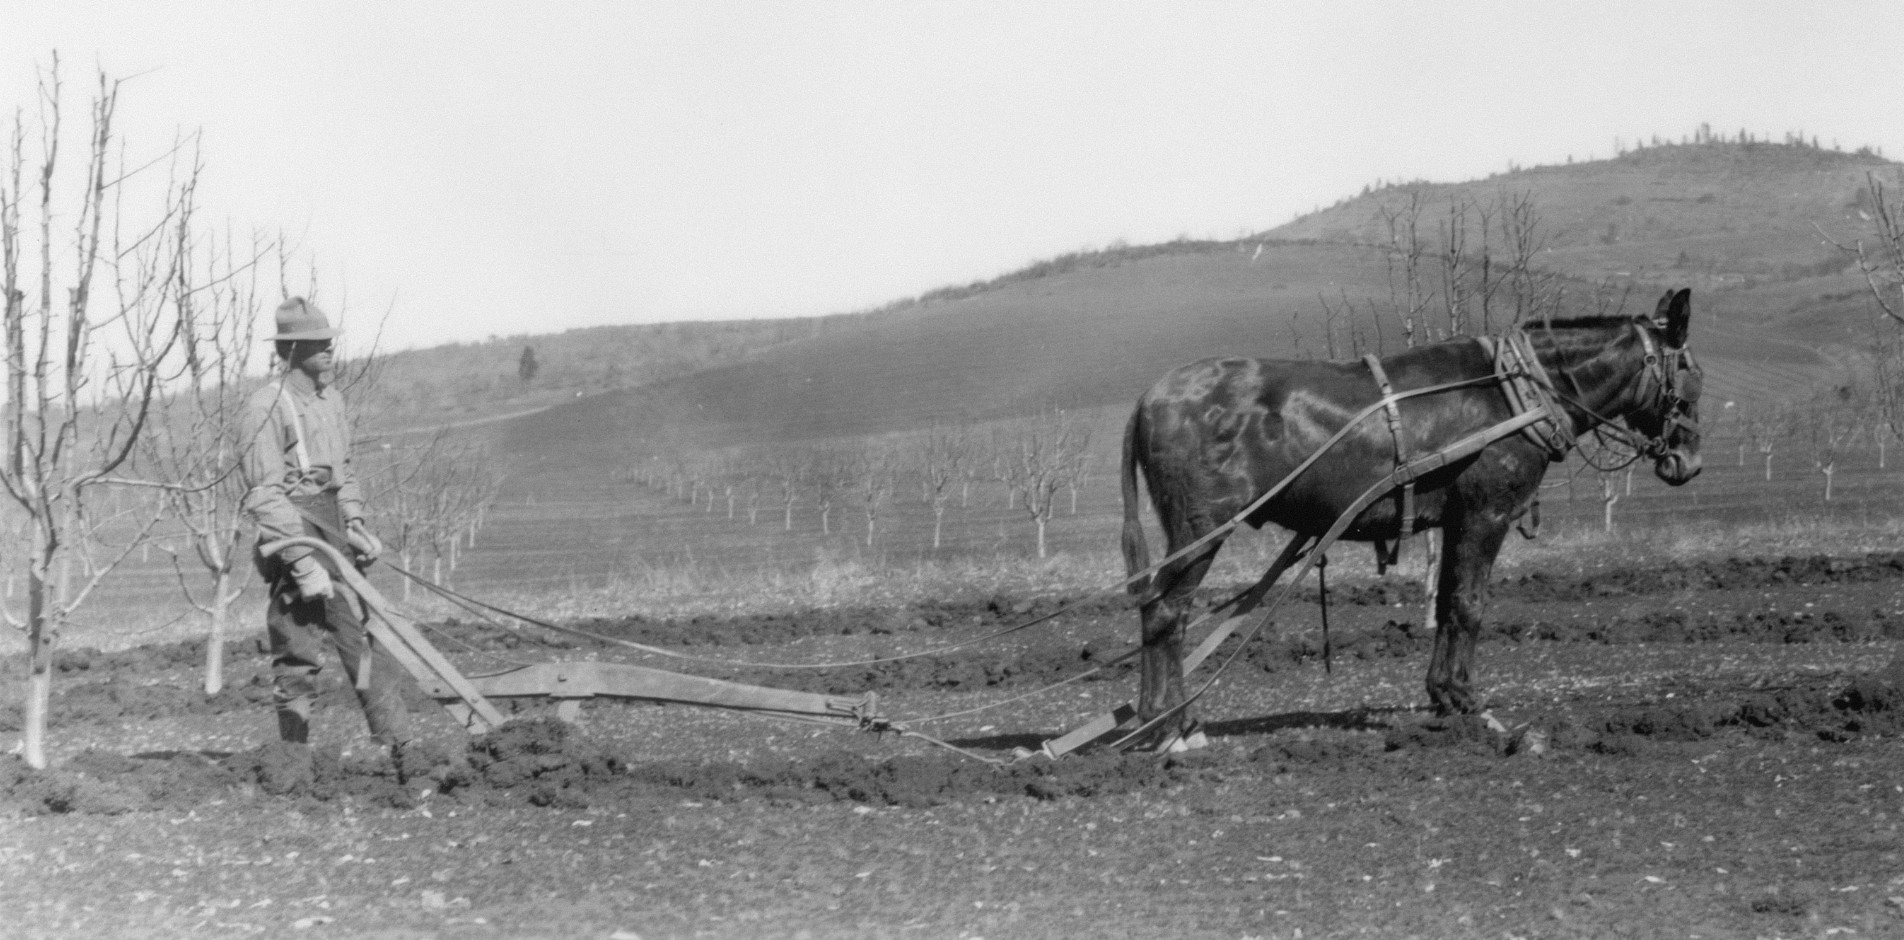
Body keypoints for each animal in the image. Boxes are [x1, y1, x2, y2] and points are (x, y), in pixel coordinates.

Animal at [1111, 287, 1698, 749]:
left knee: (1156, 612)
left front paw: (1442, 695)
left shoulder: (1457, 521)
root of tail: (1149, 398)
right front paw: (1468, 699)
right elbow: (1468, 605)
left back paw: (1155, 721)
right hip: (1200, 529)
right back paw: (1172, 725)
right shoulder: (1486, 515)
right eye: (1693, 373)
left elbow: (1446, 602)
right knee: (1166, 614)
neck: (1516, 393)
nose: (1687, 462)